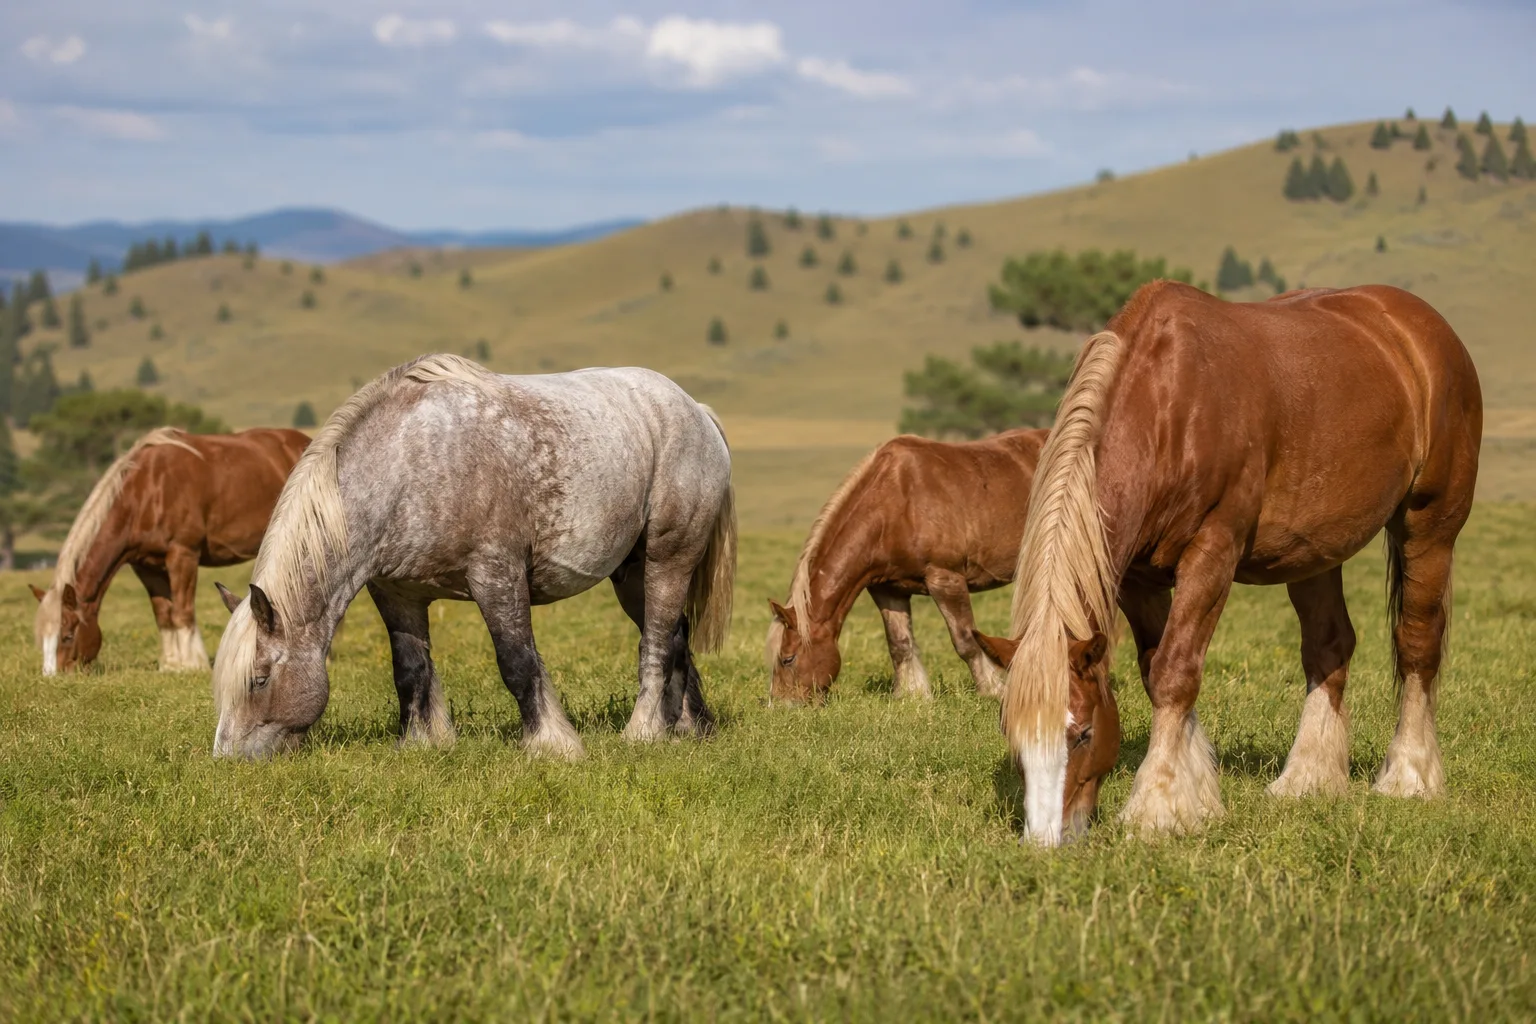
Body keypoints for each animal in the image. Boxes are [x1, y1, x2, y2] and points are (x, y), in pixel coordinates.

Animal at [30, 427, 311, 674]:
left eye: (68, 635)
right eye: (42, 638)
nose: (53, 676)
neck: (146, 492)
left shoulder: (183, 555)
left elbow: (183, 612)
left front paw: (193, 664)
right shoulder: (146, 566)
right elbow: (164, 615)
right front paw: (171, 665)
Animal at [210, 354, 736, 760]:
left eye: (258, 680)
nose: (228, 760)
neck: (407, 464)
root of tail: (697, 411)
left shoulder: (496, 577)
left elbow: (517, 661)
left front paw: (551, 745)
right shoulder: (396, 594)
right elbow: (410, 669)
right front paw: (421, 743)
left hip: (668, 560)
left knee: (656, 643)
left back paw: (643, 732)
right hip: (631, 575)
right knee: (675, 636)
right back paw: (685, 728)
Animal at [767, 429, 1048, 702]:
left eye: (788, 659)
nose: (781, 706)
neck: (896, 503)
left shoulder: (946, 580)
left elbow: (966, 640)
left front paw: (993, 690)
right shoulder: (888, 589)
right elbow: (900, 644)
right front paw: (912, 695)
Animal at [1000, 281, 1481, 846]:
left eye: (1083, 733)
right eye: (1013, 738)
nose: (1046, 840)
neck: (1171, 406)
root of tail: (1422, 327)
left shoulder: (1213, 552)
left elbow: (1175, 672)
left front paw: (1156, 807)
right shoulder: (1138, 578)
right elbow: (1155, 669)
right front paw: (1196, 793)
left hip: (1430, 528)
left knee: (1416, 646)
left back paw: (1409, 776)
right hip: (1314, 554)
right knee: (1329, 647)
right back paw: (1308, 778)